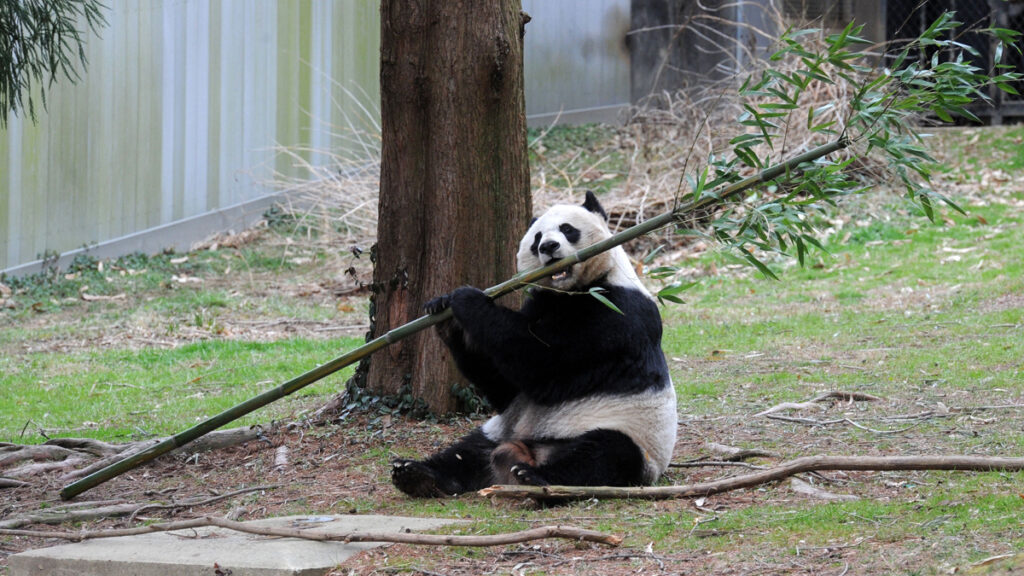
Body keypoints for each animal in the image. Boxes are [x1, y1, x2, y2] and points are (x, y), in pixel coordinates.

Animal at [391, 191, 677, 497]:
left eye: (567, 229)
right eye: (536, 238)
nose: (548, 246)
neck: (569, 292)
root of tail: (525, 453)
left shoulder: (617, 314)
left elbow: (542, 365)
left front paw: (466, 299)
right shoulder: (541, 303)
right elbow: (504, 387)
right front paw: (443, 310)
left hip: (626, 433)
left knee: (604, 455)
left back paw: (536, 477)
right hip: (499, 430)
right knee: (467, 453)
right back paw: (418, 474)